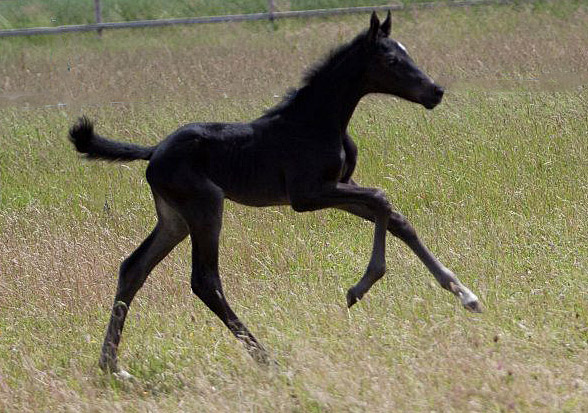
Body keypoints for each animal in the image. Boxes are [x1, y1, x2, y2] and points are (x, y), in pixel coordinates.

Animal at [70, 12, 482, 374]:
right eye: (393, 59)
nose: (435, 92)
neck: (316, 122)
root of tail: (154, 151)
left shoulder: (341, 187)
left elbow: (395, 217)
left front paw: (465, 294)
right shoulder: (307, 196)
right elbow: (381, 198)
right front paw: (360, 287)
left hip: (174, 218)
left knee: (133, 267)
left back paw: (111, 365)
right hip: (206, 206)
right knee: (204, 281)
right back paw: (267, 359)